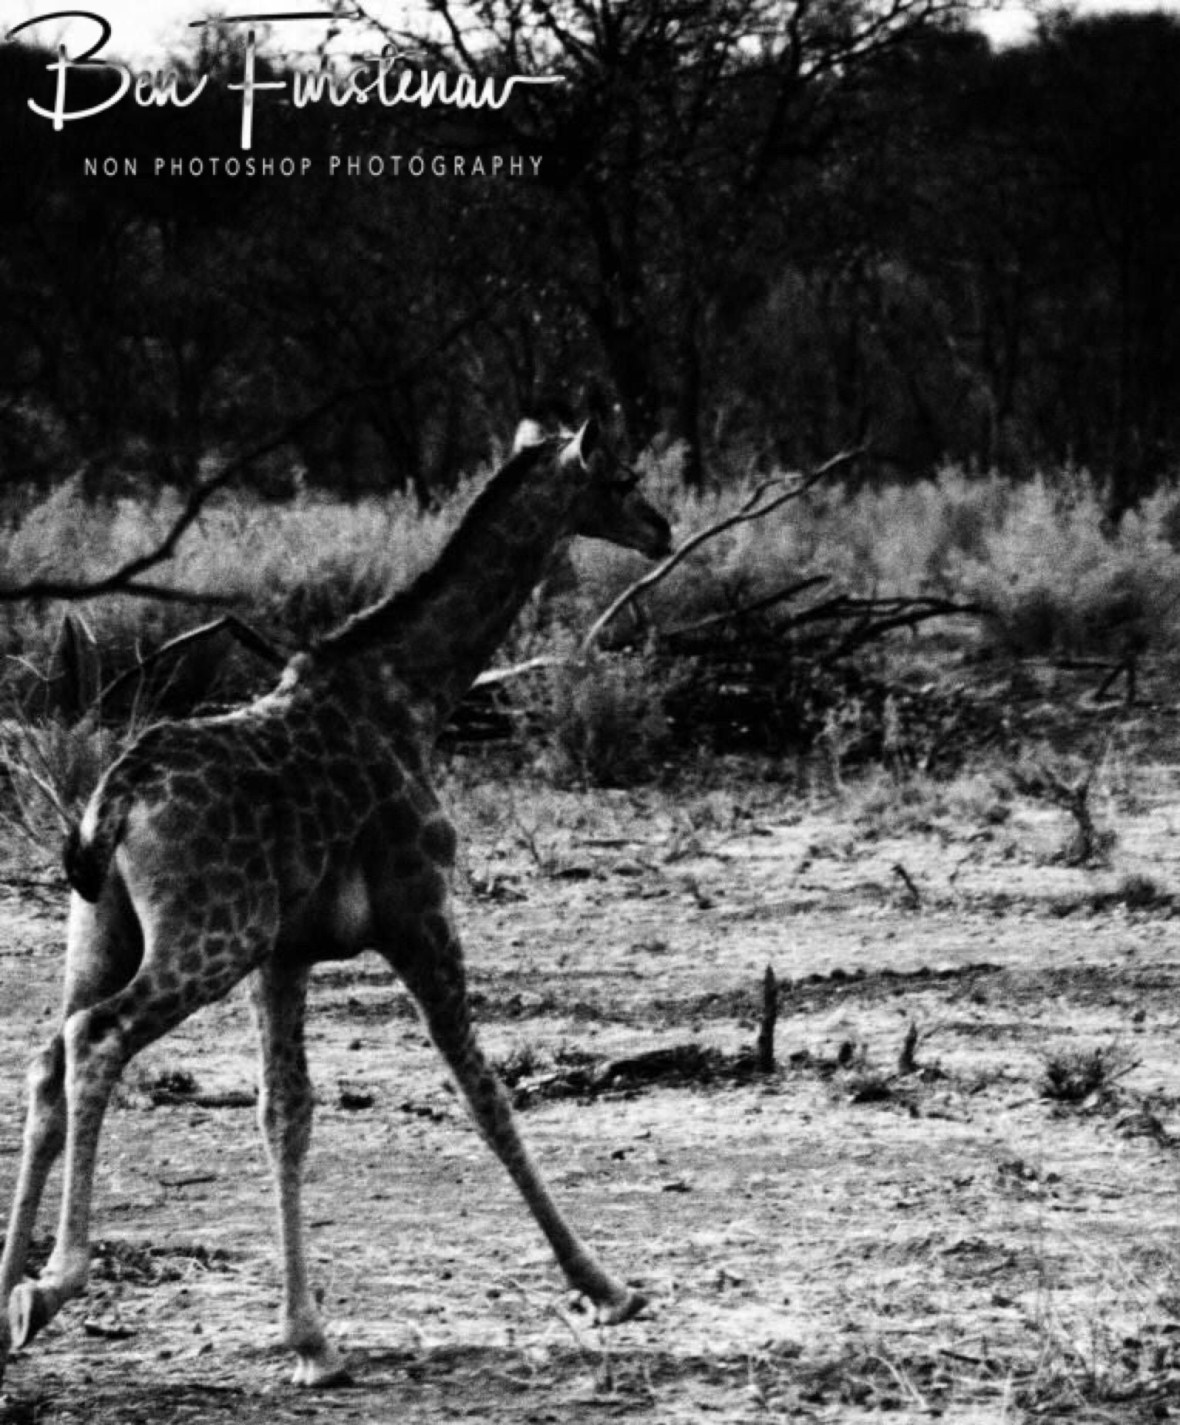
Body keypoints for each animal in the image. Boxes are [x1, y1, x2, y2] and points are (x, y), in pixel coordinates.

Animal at [0, 418, 672, 1388]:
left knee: (48, 1055)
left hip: (103, 933)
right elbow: (485, 1093)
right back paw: (57, 1278)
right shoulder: (419, 910)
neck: (414, 693)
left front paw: (309, 1338)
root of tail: (113, 801)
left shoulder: (284, 954)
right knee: (95, 1040)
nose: (662, 528)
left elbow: (286, 1114)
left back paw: (10, 1292)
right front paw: (607, 1286)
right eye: (621, 477)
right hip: (204, 939)